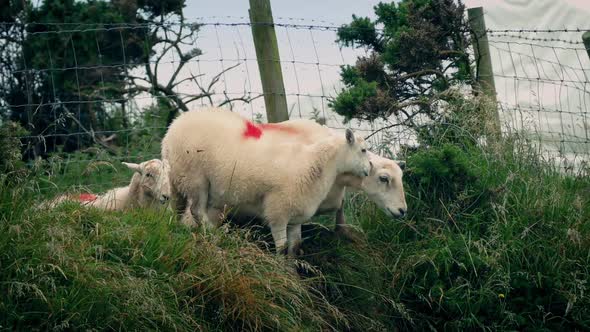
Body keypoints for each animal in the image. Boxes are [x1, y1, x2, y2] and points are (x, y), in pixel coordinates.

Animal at [162, 107, 372, 255]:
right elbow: (282, 247)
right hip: (195, 178)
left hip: (177, 179)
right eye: (363, 150)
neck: (313, 163)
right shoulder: (277, 211)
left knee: (177, 208)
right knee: (197, 211)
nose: (369, 168)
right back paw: (214, 234)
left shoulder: (294, 216)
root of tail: (172, 129)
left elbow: (295, 248)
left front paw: (294, 275)